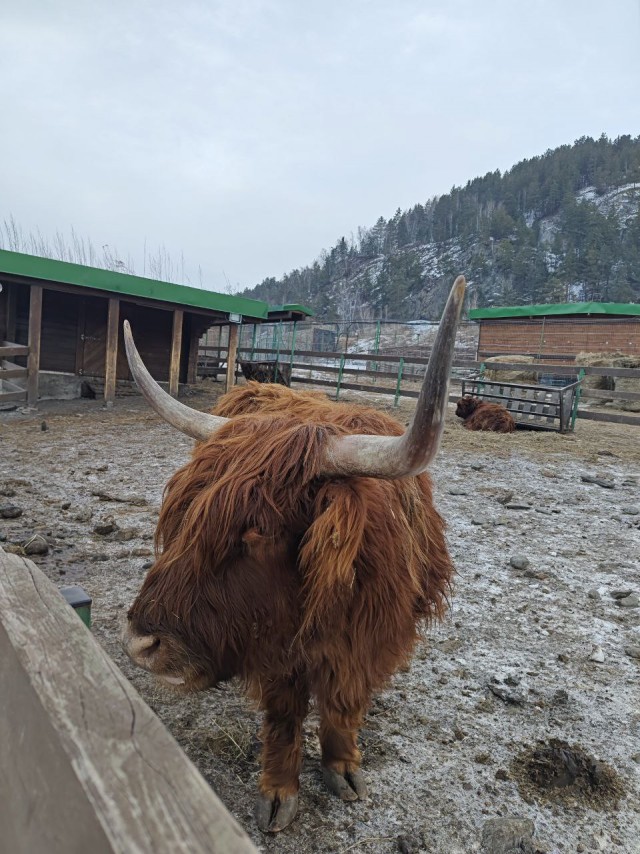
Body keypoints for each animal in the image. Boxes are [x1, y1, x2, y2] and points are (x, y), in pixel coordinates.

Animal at [121, 276, 466, 833]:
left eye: (258, 530)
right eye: (185, 510)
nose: (140, 643)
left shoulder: (367, 643)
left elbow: (343, 705)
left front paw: (343, 766)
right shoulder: (277, 649)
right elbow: (284, 717)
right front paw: (279, 792)